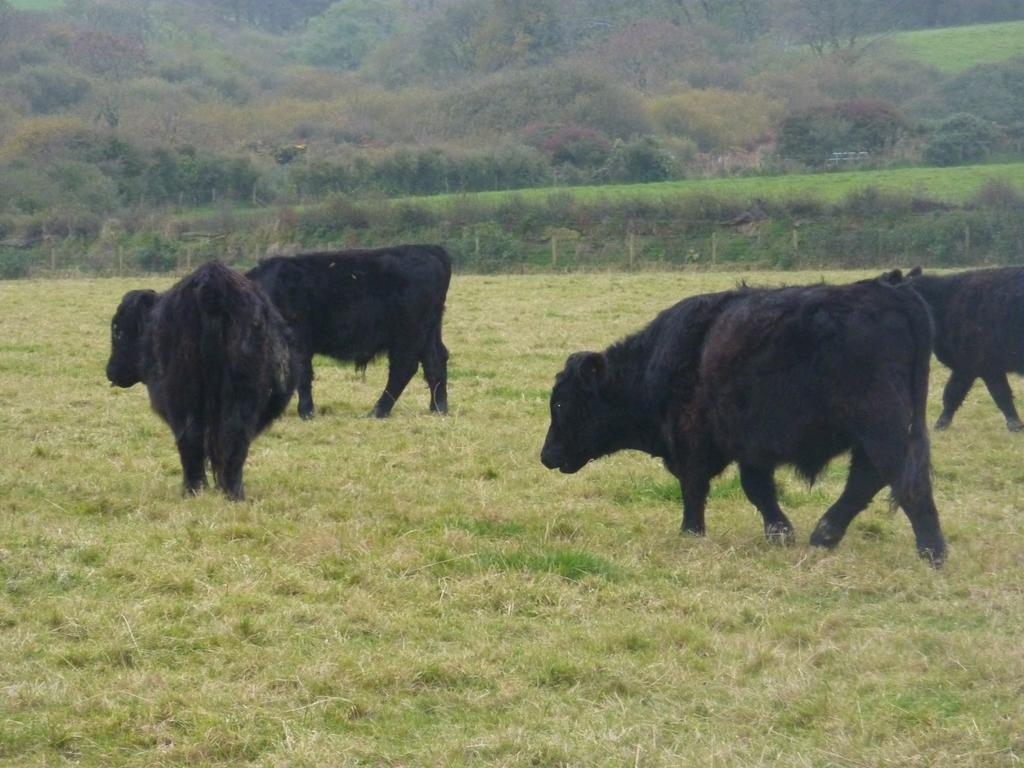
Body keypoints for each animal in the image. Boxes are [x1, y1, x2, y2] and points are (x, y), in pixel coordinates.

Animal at [245, 246, 450, 421]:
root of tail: (428, 249)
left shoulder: (298, 340)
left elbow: (302, 374)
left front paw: (306, 412)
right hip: (429, 332)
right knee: (435, 362)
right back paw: (438, 408)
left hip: (407, 335)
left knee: (404, 368)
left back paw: (378, 410)